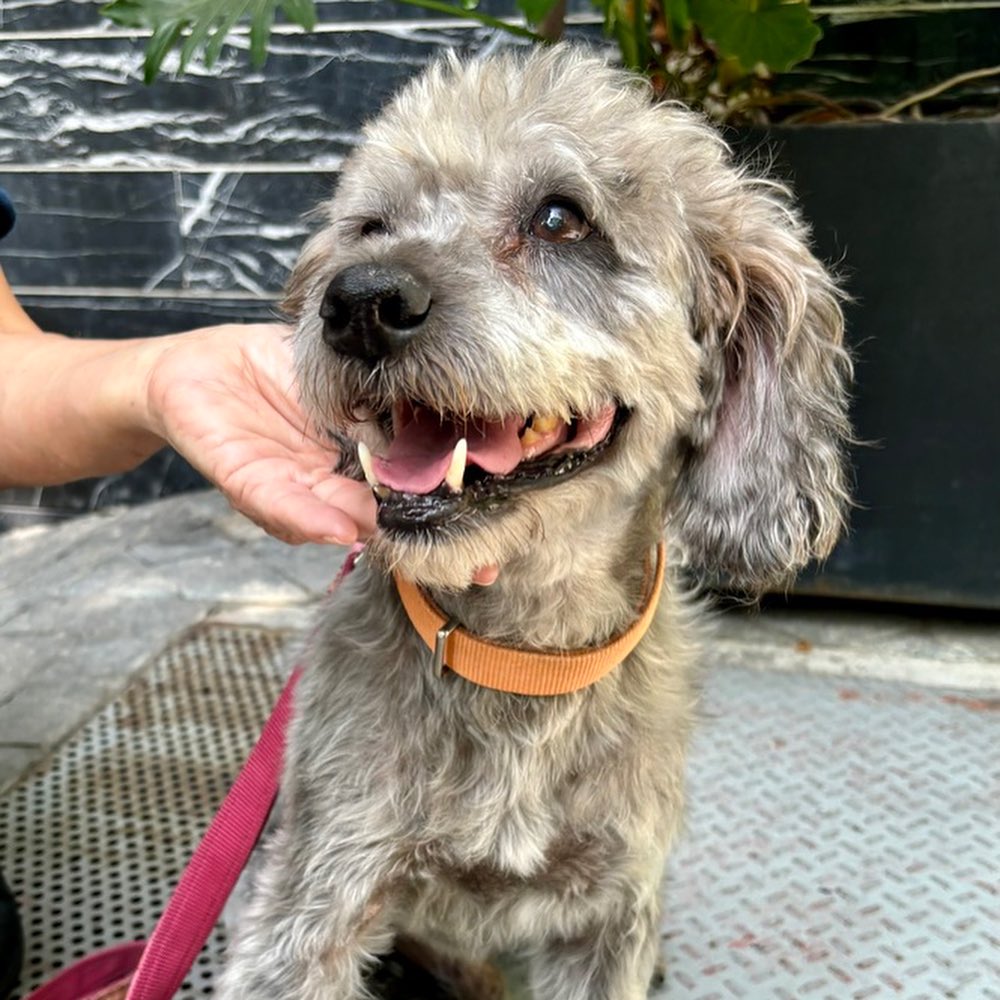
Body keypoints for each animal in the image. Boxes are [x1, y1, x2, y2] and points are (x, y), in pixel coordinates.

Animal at [217, 43, 852, 996]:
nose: (358, 302)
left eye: (561, 218)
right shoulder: (310, 905)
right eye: (371, 226)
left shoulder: (611, 916)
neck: (520, 657)